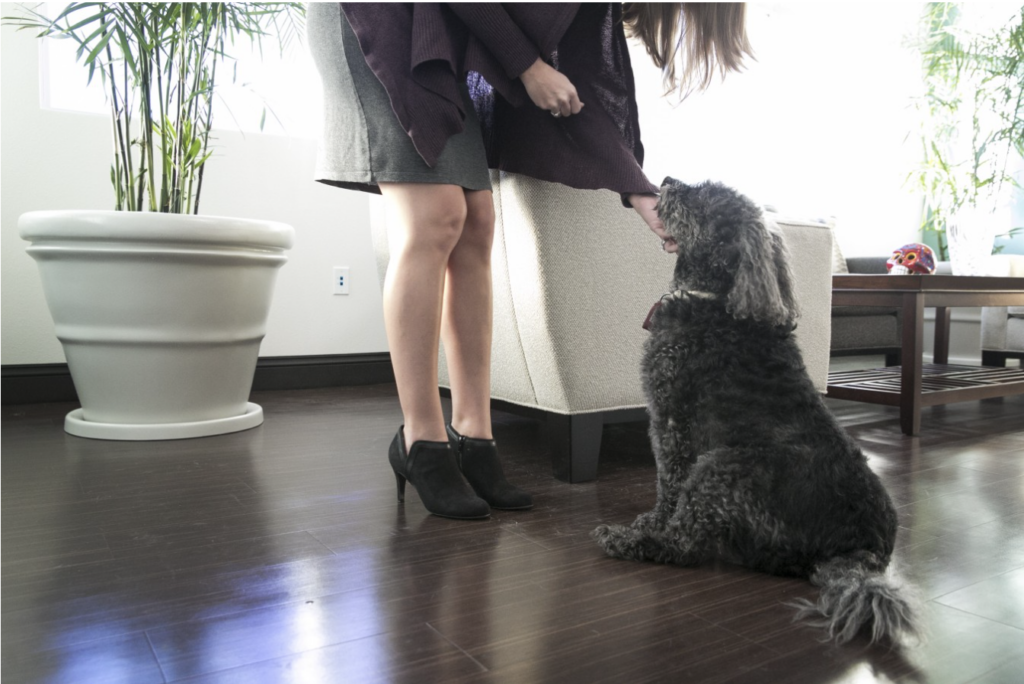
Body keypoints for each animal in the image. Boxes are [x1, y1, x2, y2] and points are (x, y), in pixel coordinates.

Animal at [593, 178, 921, 647]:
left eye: (703, 198)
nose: (667, 182)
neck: (714, 299)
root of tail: (862, 550)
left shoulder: (671, 421)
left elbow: (667, 484)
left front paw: (649, 524)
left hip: (721, 467)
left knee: (684, 546)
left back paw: (626, 541)